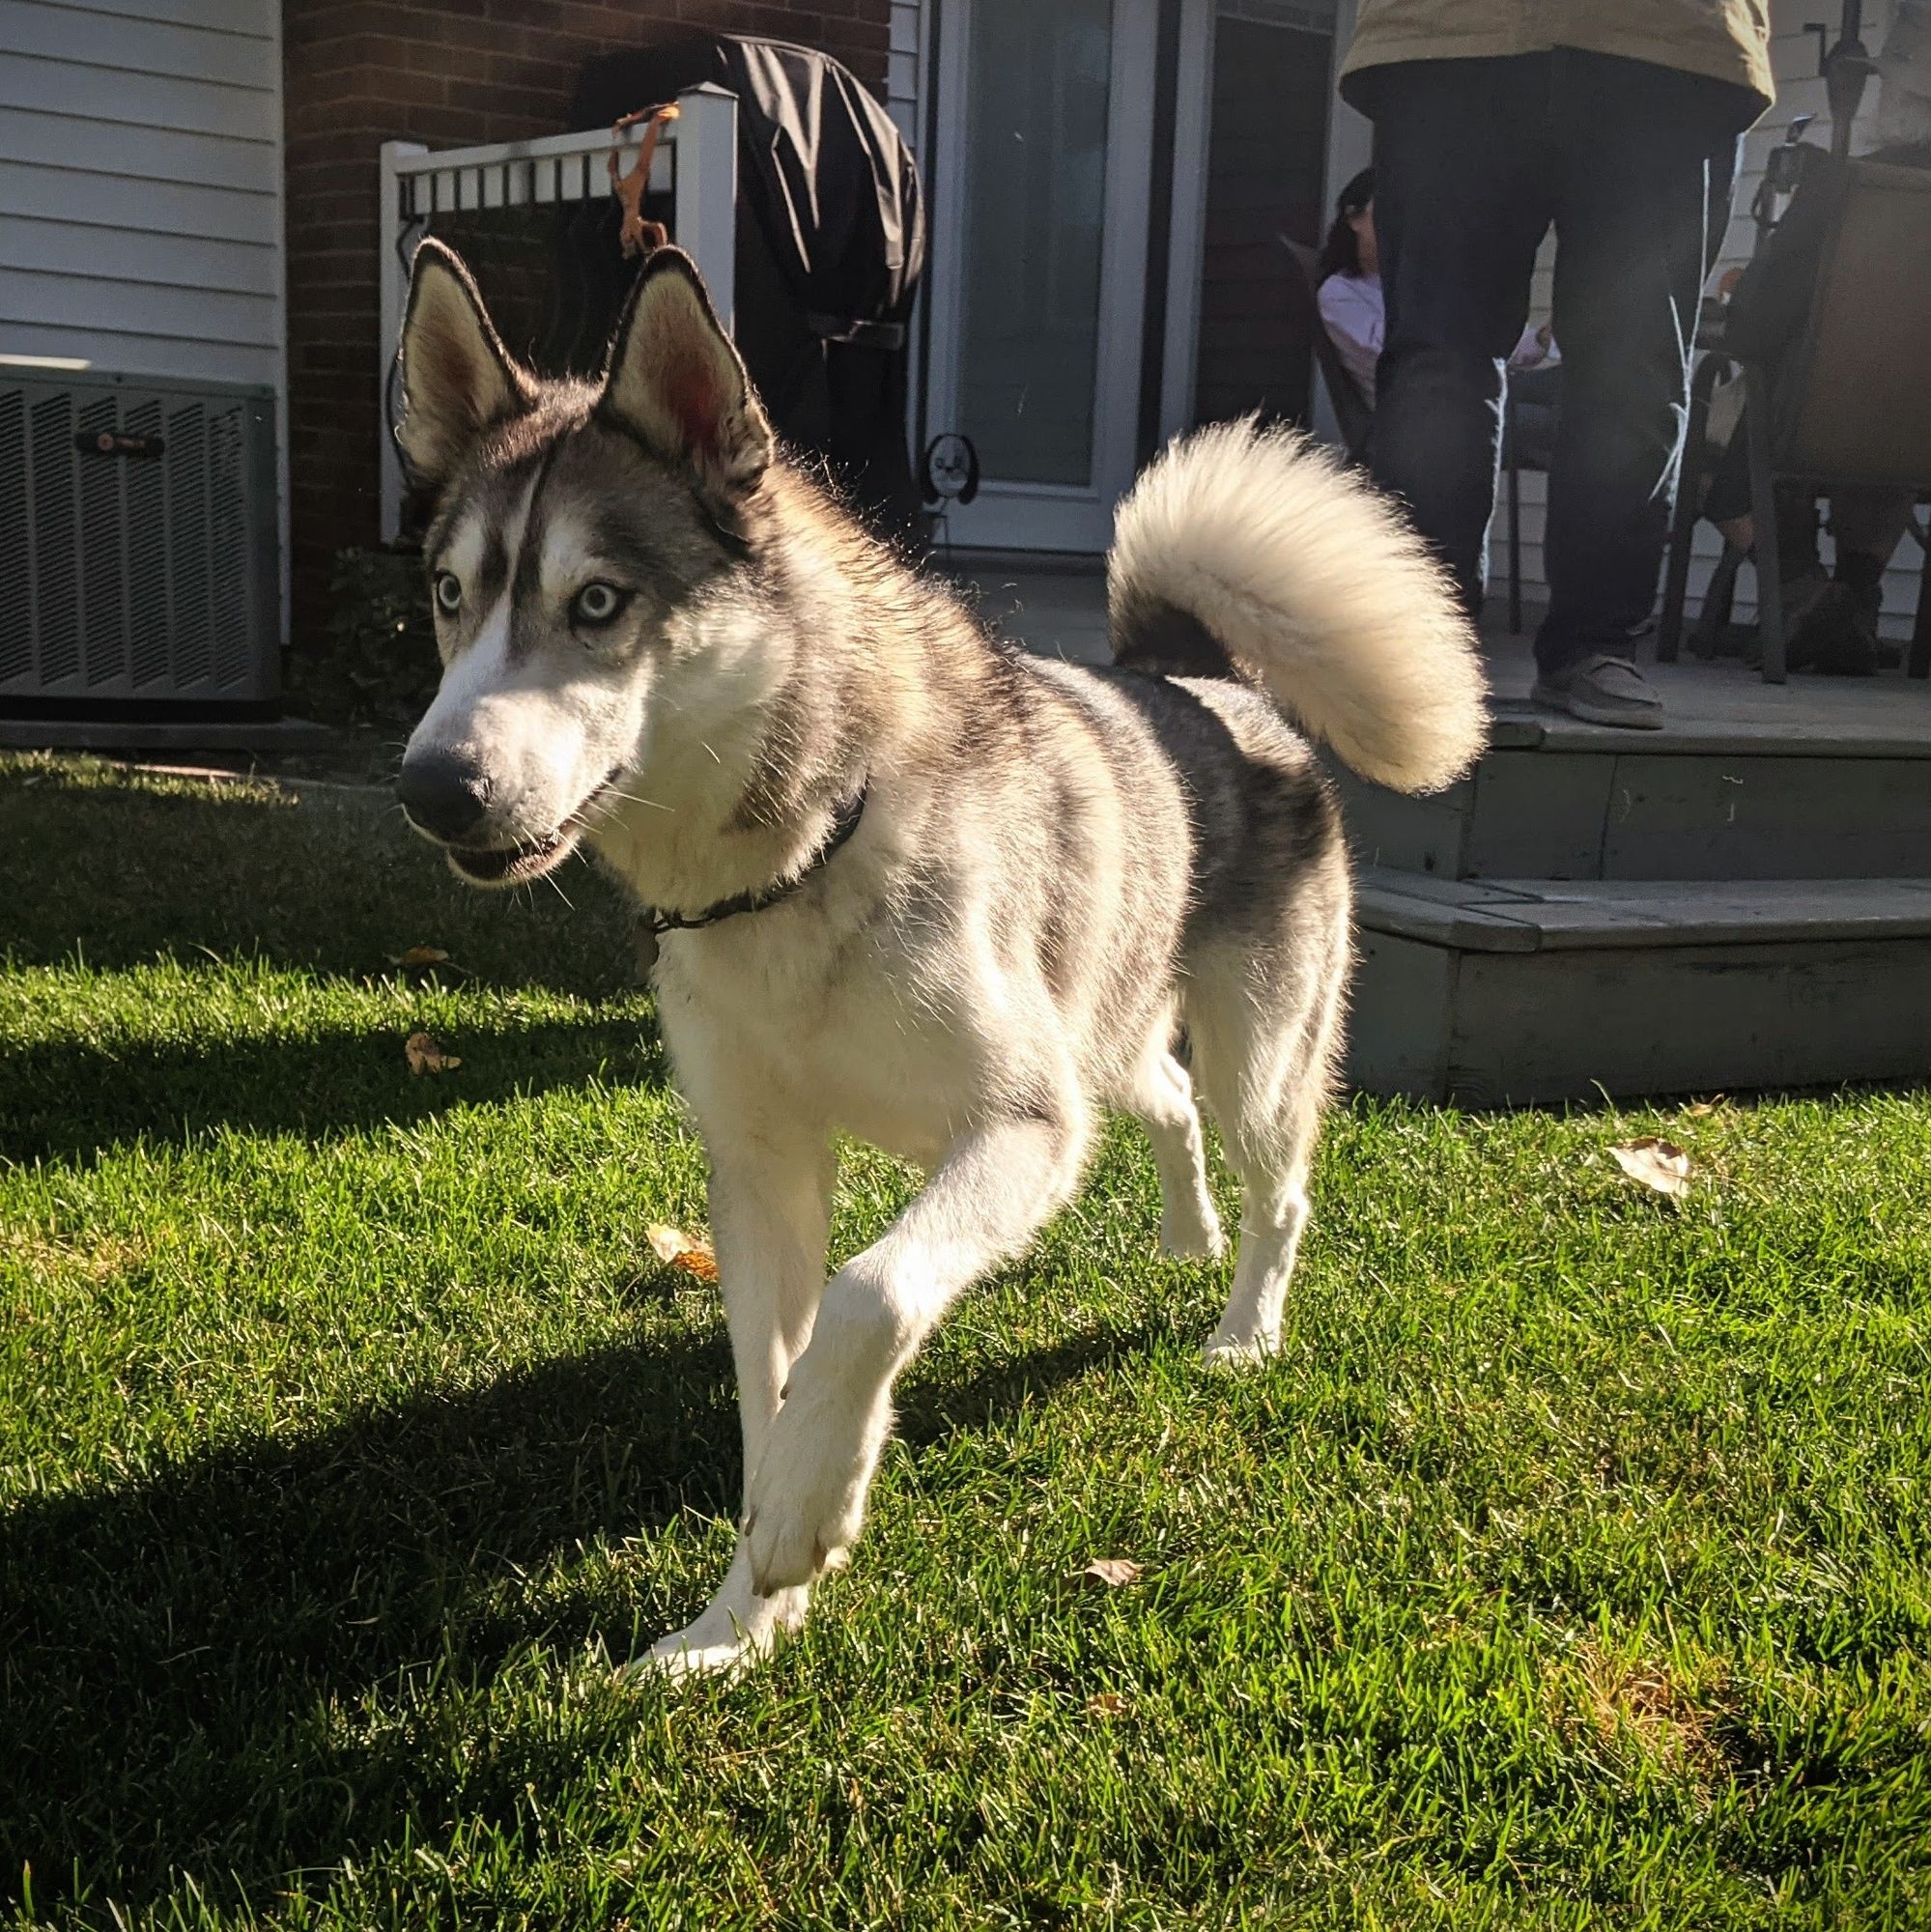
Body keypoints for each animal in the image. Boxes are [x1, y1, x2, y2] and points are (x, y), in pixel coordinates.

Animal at [387, 234, 1475, 1669]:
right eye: (450, 596)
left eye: (600, 602)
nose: (432, 791)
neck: (791, 868)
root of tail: (1197, 684)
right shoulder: (760, 1168)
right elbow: (767, 1387)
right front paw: (738, 1622)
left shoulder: (1017, 1122)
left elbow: (867, 1298)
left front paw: (809, 1511)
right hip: (1106, 1029)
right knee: (1165, 1099)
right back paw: (1186, 1239)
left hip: (1253, 1051)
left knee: (1270, 1177)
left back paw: (1243, 1326)